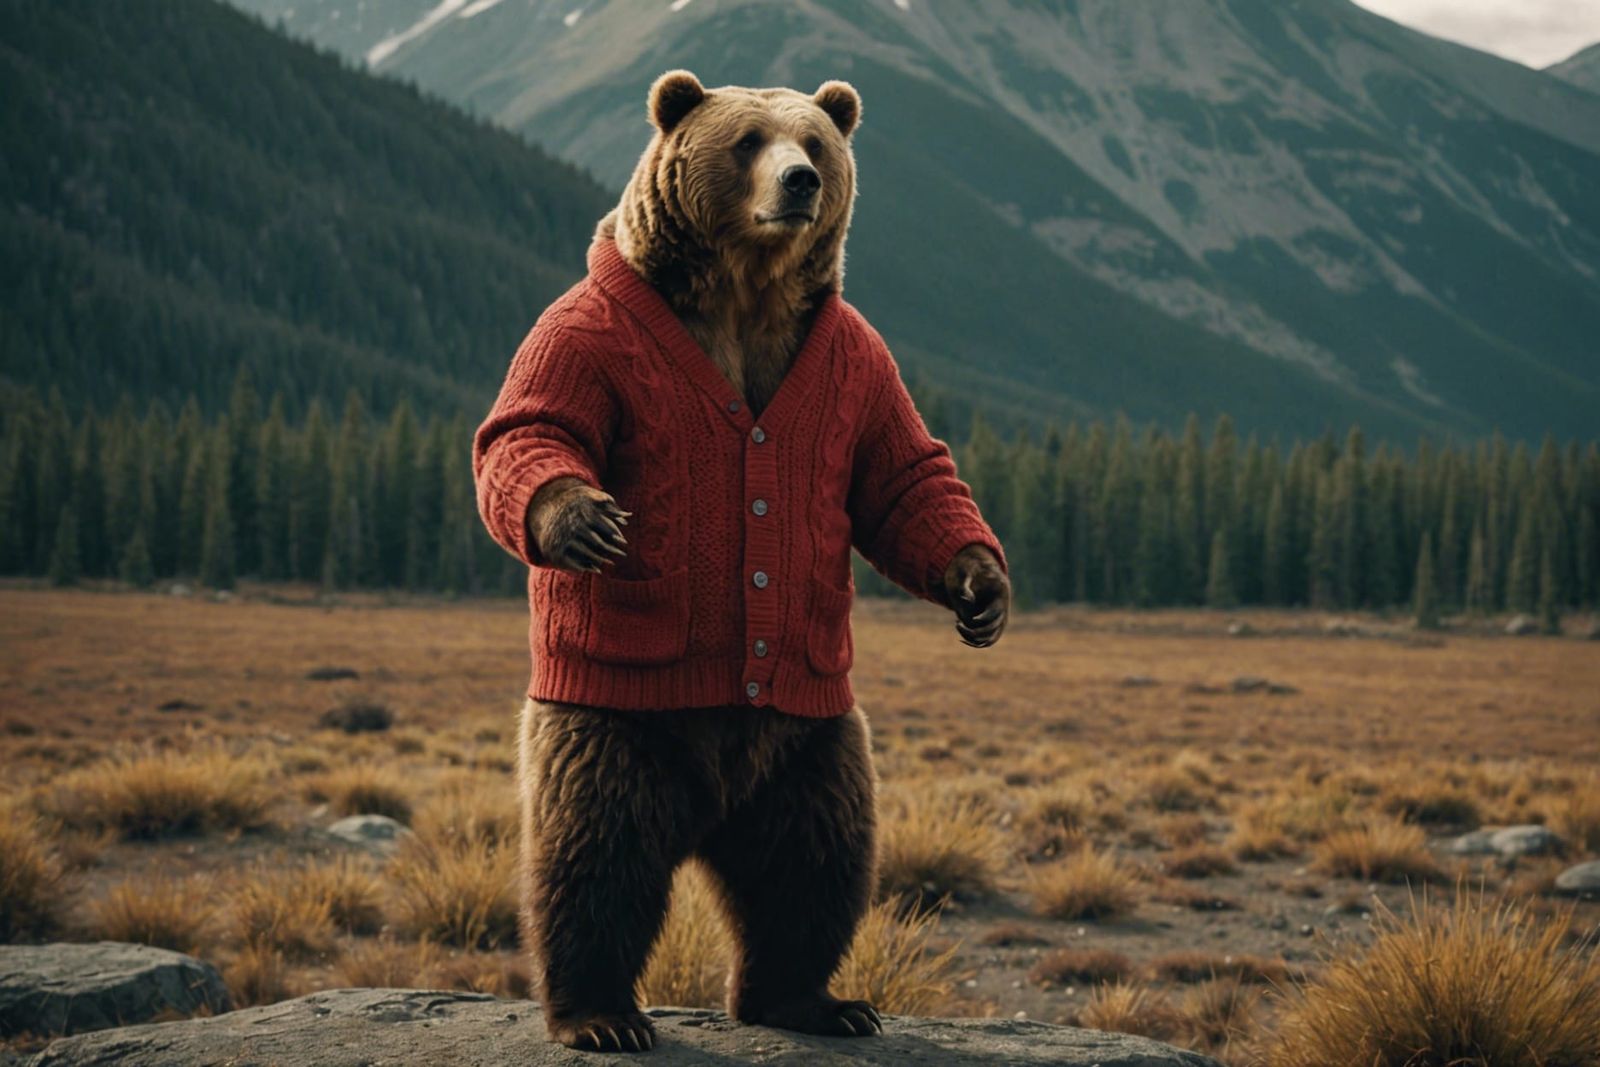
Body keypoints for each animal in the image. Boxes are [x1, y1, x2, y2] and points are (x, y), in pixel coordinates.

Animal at [473, 70, 1010, 1053]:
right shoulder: (588, 335)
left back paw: (817, 999)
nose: (800, 182)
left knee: (814, 859)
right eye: (748, 139)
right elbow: (535, 425)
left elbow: (899, 468)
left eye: (816, 141)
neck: (743, 290)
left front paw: (979, 588)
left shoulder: (851, 361)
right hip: (622, 717)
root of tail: (711, 808)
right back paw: (602, 1014)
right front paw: (582, 519)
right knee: (596, 851)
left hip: (808, 737)